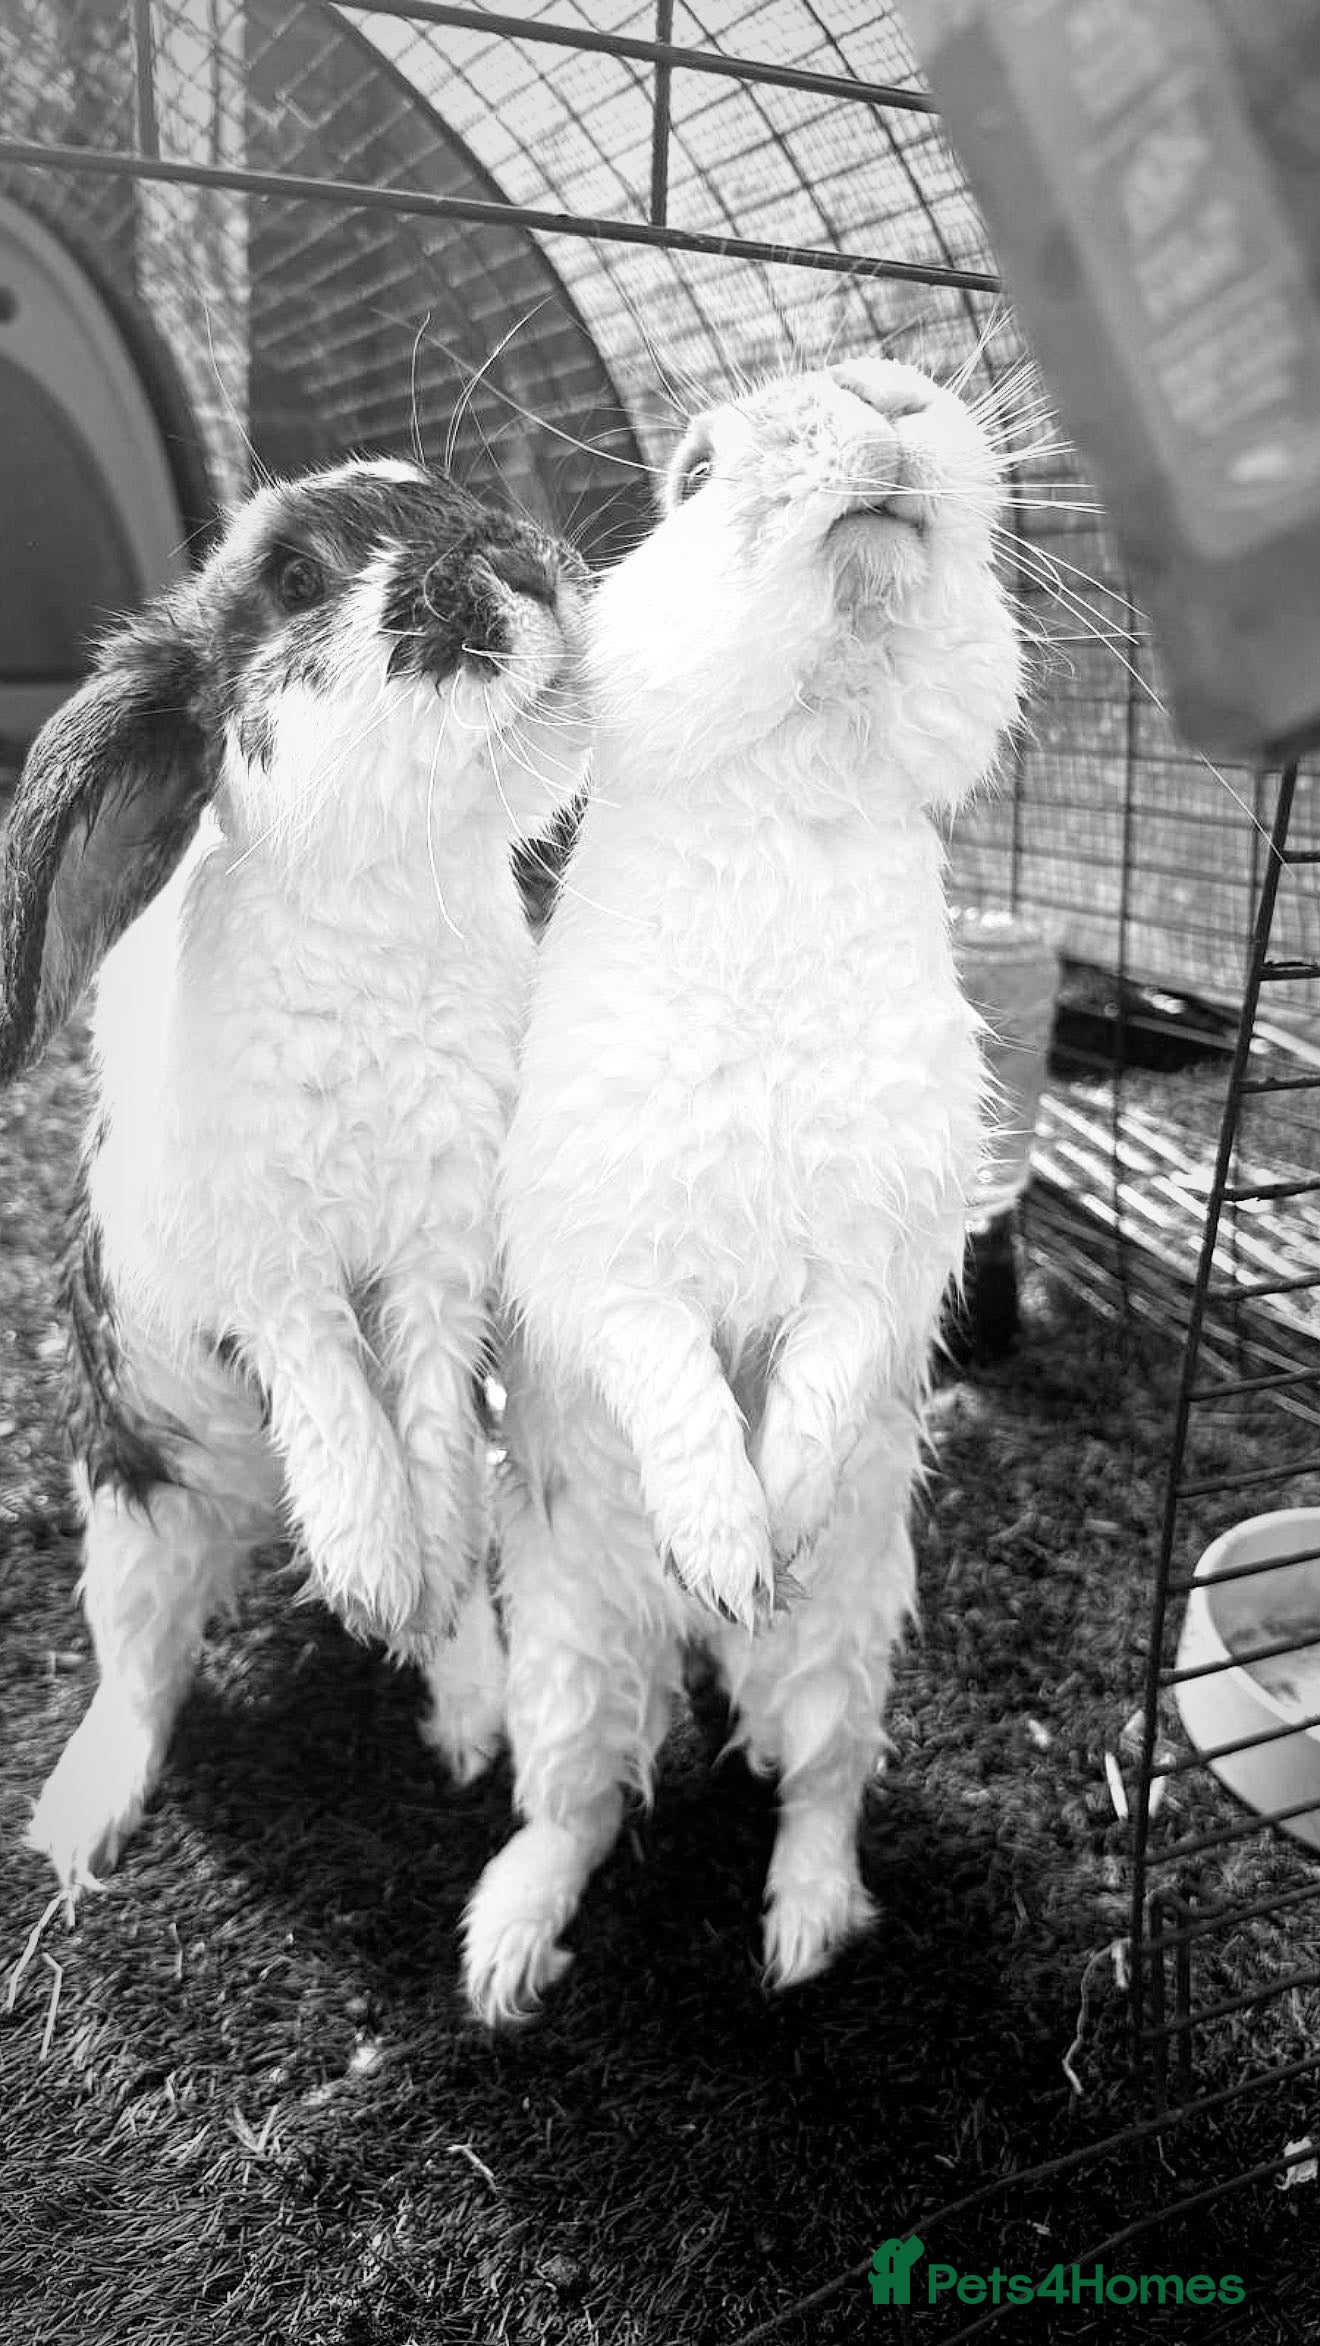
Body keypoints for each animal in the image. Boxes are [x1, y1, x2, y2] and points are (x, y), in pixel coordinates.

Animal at [0, 455, 590, 1891]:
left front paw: (415, 1585)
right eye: (297, 580)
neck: (385, 907)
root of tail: (252, 1527)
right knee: (142, 1674)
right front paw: (374, 1571)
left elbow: (425, 1421)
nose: (527, 567)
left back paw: (470, 1708)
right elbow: (333, 1397)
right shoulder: (266, 1272)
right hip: (133, 1518)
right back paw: (77, 1826)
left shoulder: (440, 1268)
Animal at [463, 357, 1025, 2022]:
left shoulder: (879, 1255)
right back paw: (504, 1954)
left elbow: (826, 1373)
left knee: (816, 1784)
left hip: (844, 1653)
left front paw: (767, 1528)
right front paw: (720, 1541)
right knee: (579, 1805)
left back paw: (804, 1932)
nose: (895, 389)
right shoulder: (607, 1249)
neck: (802, 765)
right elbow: (665, 1370)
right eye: (696, 471)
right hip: (566, 1658)